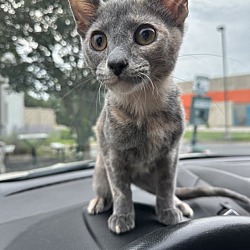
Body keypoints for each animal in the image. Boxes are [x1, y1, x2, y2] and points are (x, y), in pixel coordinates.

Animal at [69, 0, 250, 234]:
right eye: (98, 40)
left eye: (145, 35)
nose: (116, 63)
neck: (144, 108)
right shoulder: (112, 153)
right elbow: (120, 189)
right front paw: (122, 215)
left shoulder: (170, 154)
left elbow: (166, 185)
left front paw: (168, 211)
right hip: (100, 168)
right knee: (105, 187)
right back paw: (100, 200)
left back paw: (179, 204)